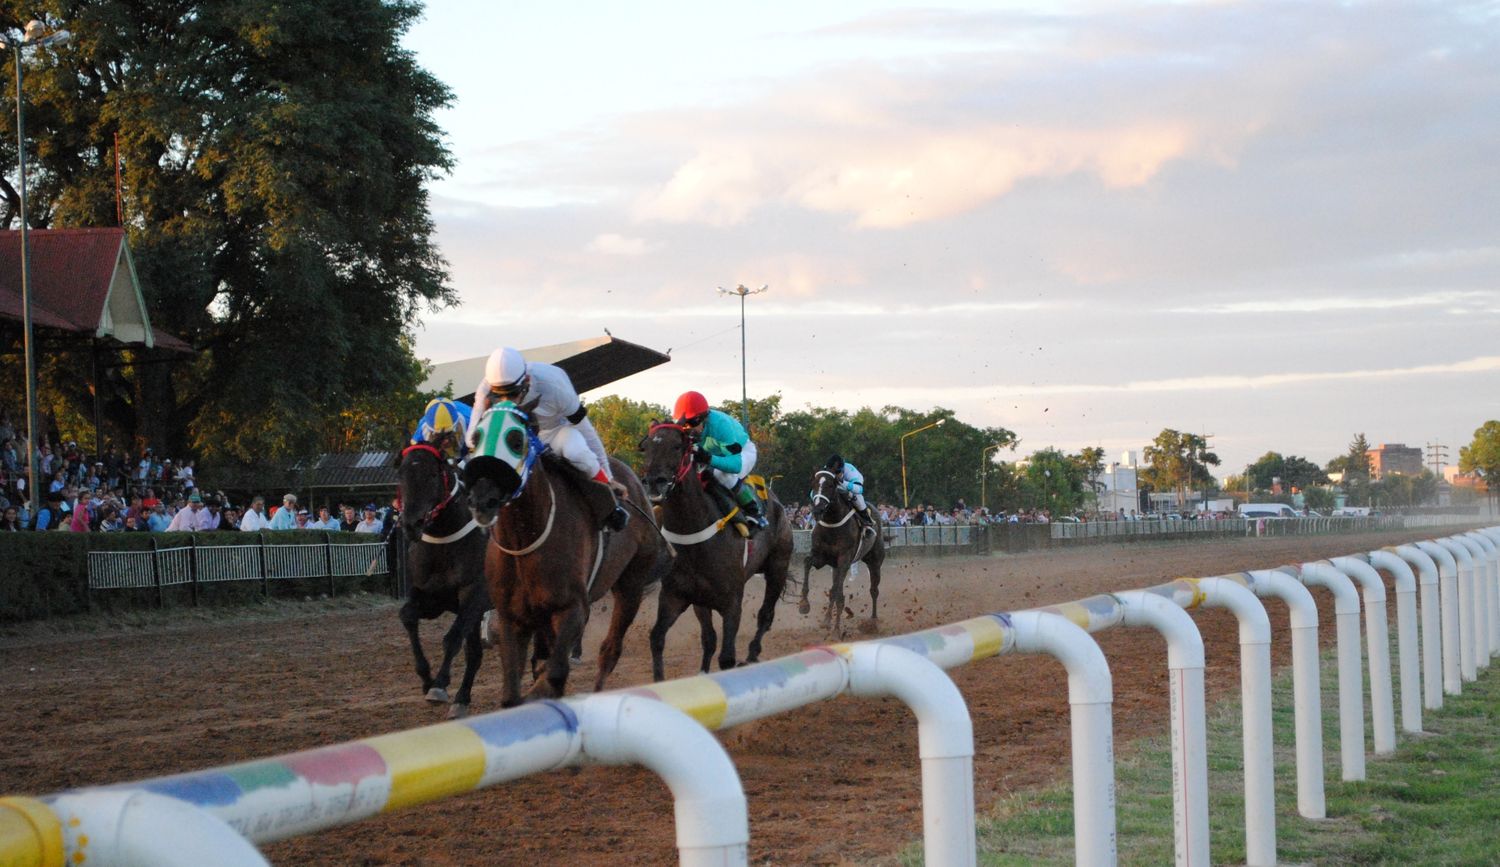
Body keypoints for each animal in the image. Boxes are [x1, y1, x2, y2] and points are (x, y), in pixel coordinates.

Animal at [396, 435, 489, 720]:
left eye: (432, 474)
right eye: (401, 474)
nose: (411, 525)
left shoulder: (475, 592)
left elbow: (452, 637)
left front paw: (438, 685)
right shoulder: (431, 595)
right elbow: (408, 615)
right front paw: (427, 680)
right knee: (475, 653)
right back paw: (462, 699)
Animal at [459, 402, 666, 705]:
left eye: (516, 439)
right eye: (475, 438)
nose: (481, 499)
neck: (525, 541)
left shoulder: (572, 607)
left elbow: (553, 676)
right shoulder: (513, 617)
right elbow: (513, 693)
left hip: (631, 585)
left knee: (610, 649)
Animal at [636, 420, 798, 675]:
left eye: (677, 446)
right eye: (647, 447)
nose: (654, 482)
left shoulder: (732, 602)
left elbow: (727, 657)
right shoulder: (678, 596)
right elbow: (660, 639)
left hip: (778, 567)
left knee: (766, 614)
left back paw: (752, 653)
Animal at [804, 465, 882, 636]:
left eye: (829, 486)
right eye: (813, 485)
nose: (817, 510)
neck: (832, 523)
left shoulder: (844, 560)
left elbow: (840, 596)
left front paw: (836, 630)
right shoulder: (821, 557)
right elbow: (807, 562)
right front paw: (803, 604)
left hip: (875, 560)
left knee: (874, 590)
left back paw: (873, 621)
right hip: (835, 566)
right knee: (833, 589)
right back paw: (826, 620)